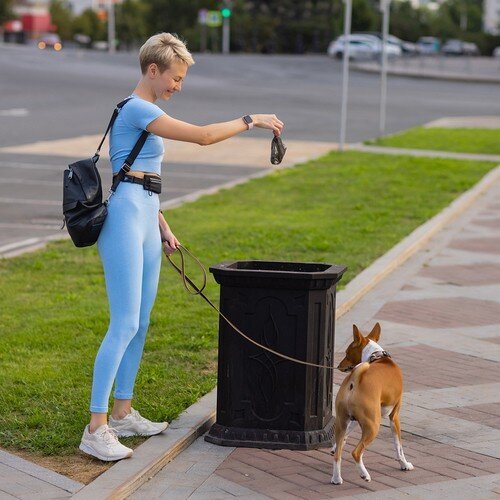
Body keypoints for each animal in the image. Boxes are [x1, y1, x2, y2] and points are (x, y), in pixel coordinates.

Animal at [330, 322, 412, 482]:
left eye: (346, 353)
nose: (338, 366)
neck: (377, 357)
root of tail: (354, 380)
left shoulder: (354, 419)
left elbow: (344, 437)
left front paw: (335, 446)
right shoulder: (394, 416)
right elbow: (399, 447)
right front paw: (404, 464)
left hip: (344, 421)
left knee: (338, 455)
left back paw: (336, 478)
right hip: (373, 425)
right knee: (356, 452)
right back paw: (364, 474)